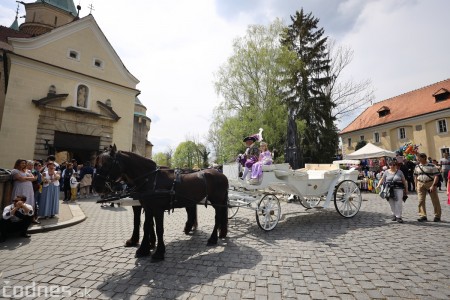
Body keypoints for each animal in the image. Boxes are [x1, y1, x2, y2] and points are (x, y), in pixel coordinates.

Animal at [93, 146, 230, 262]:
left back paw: (212, 238)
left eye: (106, 164)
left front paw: (159, 252)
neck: (151, 179)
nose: (96, 187)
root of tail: (222, 174)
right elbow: (146, 226)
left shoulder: (158, 209)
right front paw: (143, 249)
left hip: (217, 201)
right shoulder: (148, 207)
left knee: (217, 217)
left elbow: (159, 228)